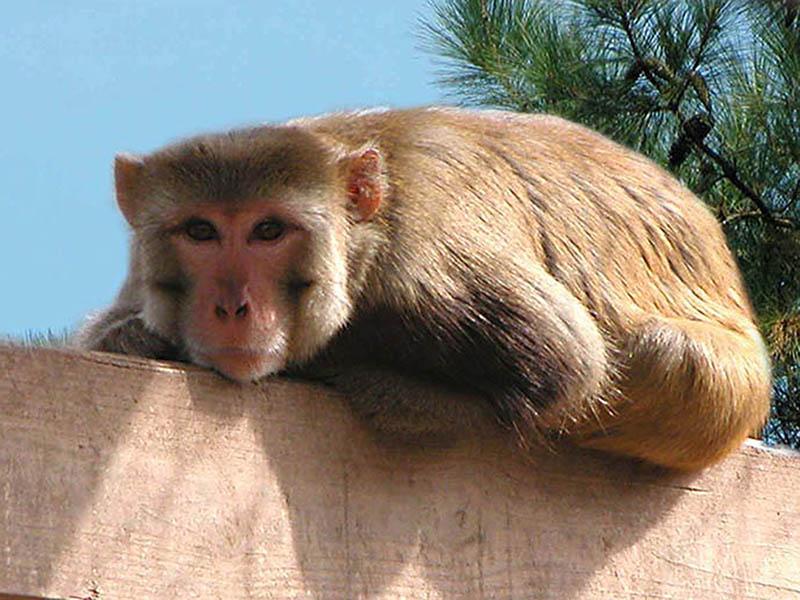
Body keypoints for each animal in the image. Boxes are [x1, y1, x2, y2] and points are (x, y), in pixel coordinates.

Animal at [76, 107, 772, 471]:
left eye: (268, 230)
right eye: (201, 230)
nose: (231, 306)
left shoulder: (431, 257)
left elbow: (565, 366)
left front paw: (341, 363)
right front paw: (137, 337)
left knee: (664, 353)